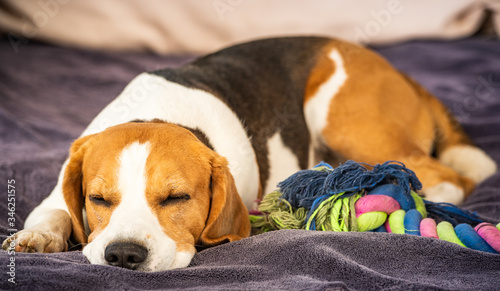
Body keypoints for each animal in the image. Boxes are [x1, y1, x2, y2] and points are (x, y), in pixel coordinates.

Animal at [2, 36, 496, 272]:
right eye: (98, 200)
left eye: (177, 199)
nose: (123, 256)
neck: (161, 114)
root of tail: (399, 73)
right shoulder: (59, 190)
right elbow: (51, 213)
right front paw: (39, 237)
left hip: (343, 118)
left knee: (446, 177)